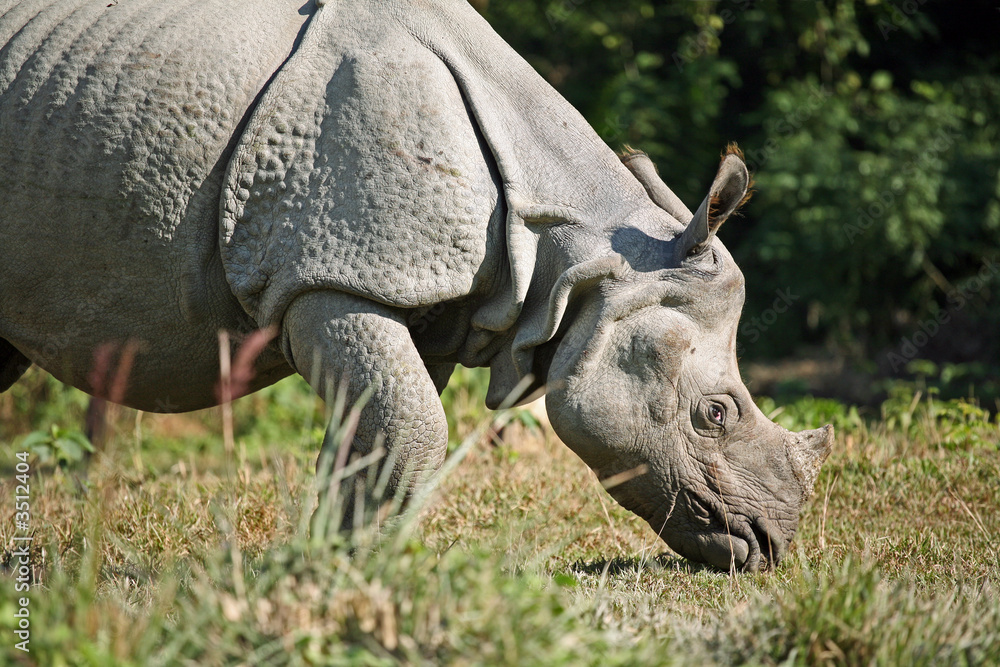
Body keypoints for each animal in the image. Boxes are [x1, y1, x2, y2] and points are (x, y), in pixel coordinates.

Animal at [0, 0, 832, 571]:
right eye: (714, 413)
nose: (771, 543)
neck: (579, 254)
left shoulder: (423, 298)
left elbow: (378, 432)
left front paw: (331, 563)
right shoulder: (331, 278)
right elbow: (416, 428)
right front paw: (344, 577)